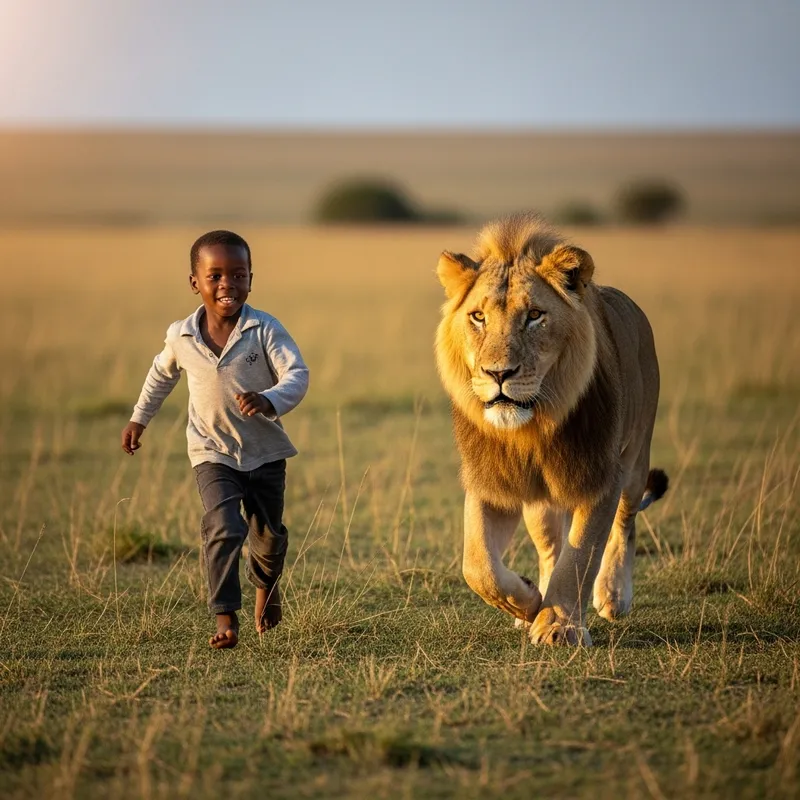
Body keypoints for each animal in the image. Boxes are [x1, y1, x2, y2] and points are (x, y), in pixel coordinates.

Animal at [435, 213, 668, 645]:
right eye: (478, 317)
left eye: (534, 316)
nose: (498, 373)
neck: (533, 429)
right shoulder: (492, 479)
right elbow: (478, 565)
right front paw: (527, 602)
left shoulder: (601, 475)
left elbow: (582, 554)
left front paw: (561, 625)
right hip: (538, 504)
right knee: (549, 548)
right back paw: (534, 605)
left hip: (636, 460)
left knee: (624, 522)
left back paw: (613, 595)